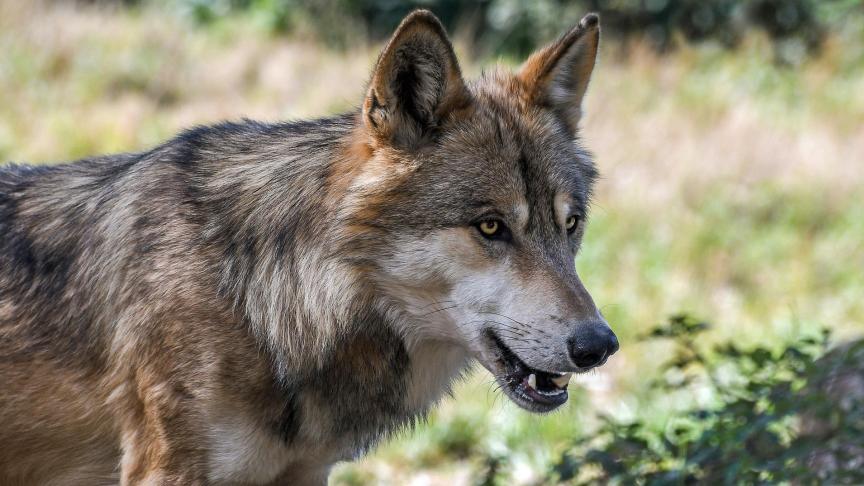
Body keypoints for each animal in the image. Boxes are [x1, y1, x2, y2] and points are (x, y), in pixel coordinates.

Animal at [0, 9, 617, 485]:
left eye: (570, 224)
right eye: (490, 227)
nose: (600, 345)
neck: (261, 300)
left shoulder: (306, 472)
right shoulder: (166, 470)